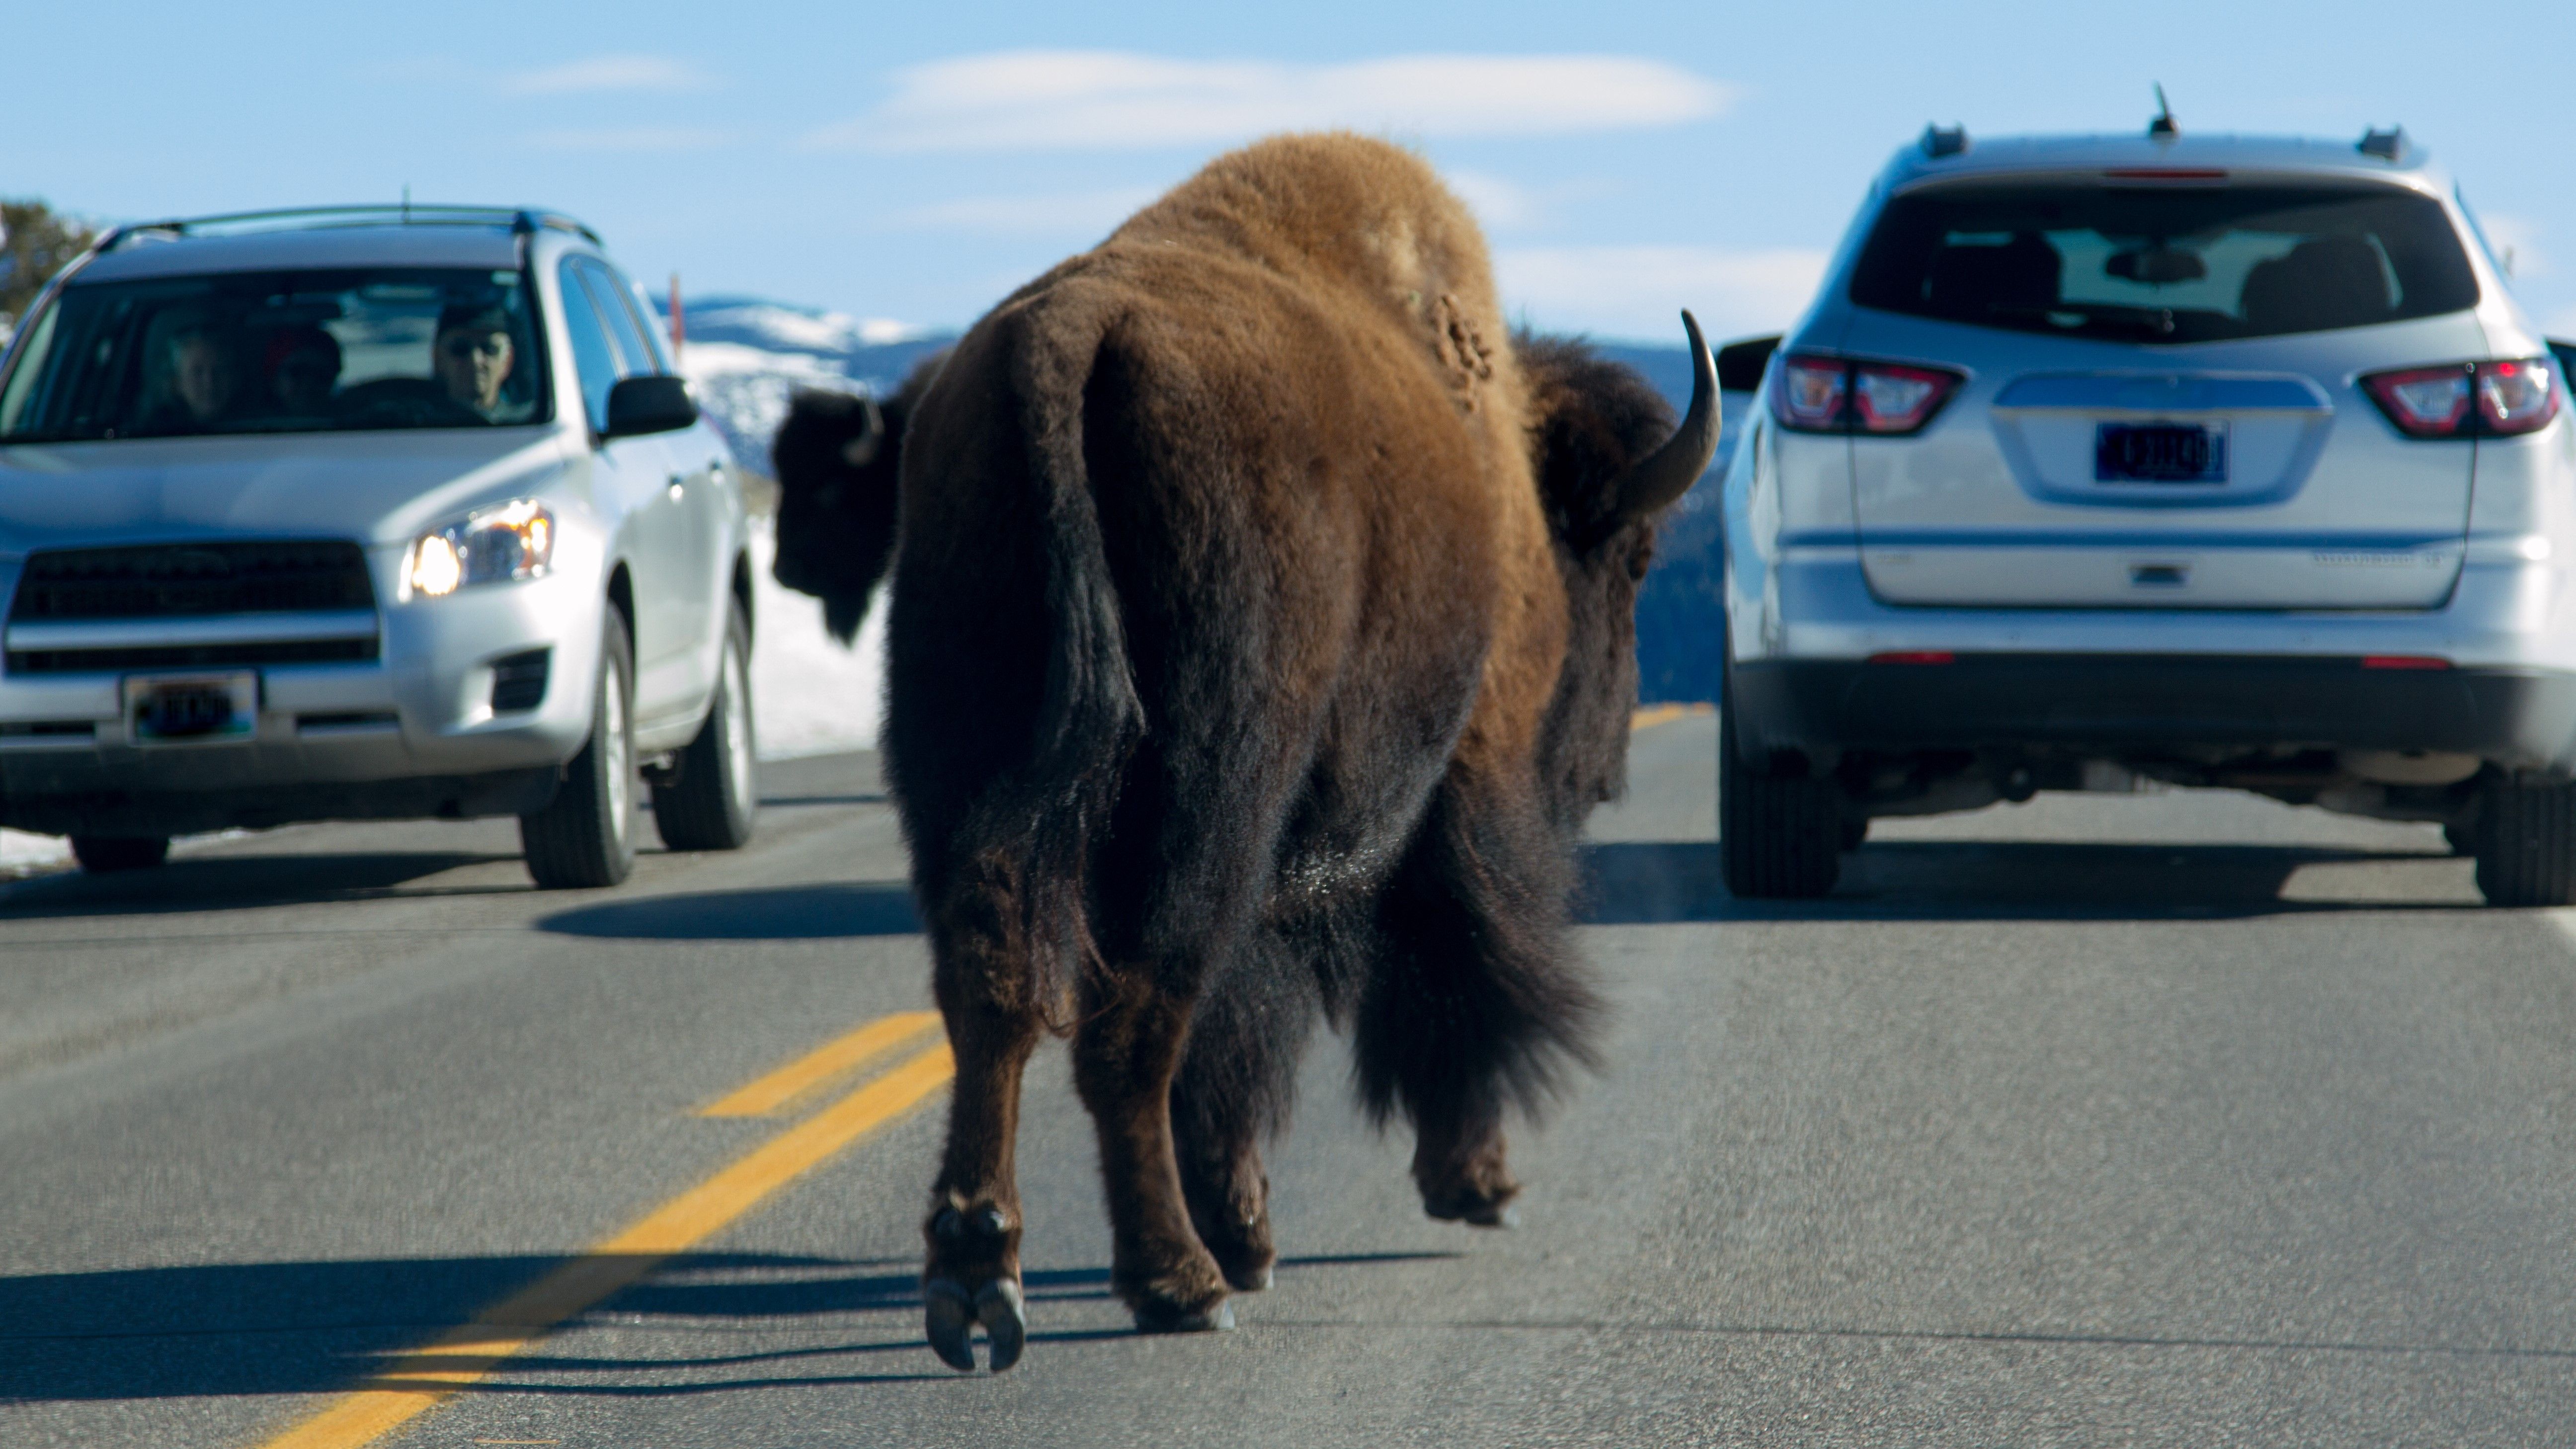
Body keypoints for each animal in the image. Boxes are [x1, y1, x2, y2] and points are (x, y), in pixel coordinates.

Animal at [773, 133, 1720, 1361]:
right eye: (1634, 559)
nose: (1603, 767)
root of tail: (1063, 342)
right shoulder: (1442, 802)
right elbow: (1437, 974)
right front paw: (1462, 1185)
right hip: (1206, 802)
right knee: (1137, 1018)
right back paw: (1178, 1284)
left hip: (955, 764)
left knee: (992, 991)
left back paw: (981, 1278)